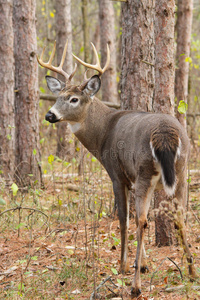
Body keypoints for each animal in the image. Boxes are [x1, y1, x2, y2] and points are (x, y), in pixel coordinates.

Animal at [37, 41, 197, 296]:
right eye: (58, 96)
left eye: (74, 99)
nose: (49, 115)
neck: (102, 133)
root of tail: (164, 134)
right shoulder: (131, 179)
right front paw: (145, 264)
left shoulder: (116, 175)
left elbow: (124, 219)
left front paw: (124, 265)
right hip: (182, 172)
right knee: (179, 216)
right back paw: (191, 272)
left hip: (145, 171)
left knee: (142, 220)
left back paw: (135, 286)